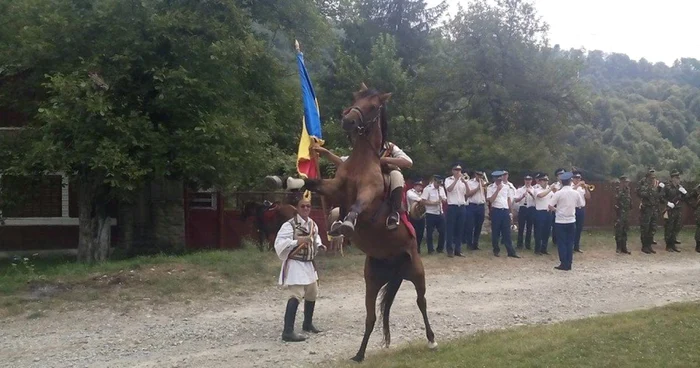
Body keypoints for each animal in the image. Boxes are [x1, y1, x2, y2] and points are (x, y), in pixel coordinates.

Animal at [266, 84, 434, 362]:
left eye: (374, 106)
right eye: (356, 98)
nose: (348, 120)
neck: (362, 161)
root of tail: (395, 268)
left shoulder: (368, 193)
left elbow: (357, 206)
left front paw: (346, 224)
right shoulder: (333, 187)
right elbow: (310, 182)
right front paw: (284, 180)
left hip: (417, 274)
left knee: (421, 303)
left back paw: (431, 340)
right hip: (372, 282)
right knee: (371, 317)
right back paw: (360, 354)